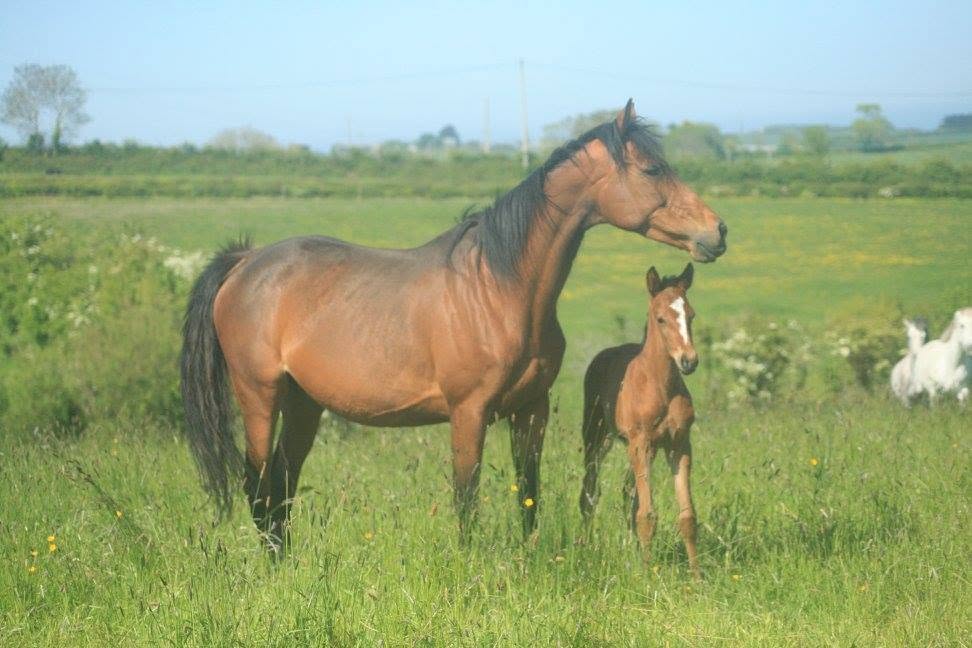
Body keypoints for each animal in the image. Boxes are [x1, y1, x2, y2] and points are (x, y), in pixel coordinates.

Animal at [579, 264, 701, 578]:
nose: (689, 361)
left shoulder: (679, 445)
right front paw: (647, 575)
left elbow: (687, 516)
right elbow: (647, 514)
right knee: (589, 493)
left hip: (640, 448)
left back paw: (630, 550)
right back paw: (586, 547)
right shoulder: (641, 443)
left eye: (691, 314)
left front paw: (698, 577)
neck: (661, 386)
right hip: (598, 438)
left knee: (627, 492)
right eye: (661, 319)